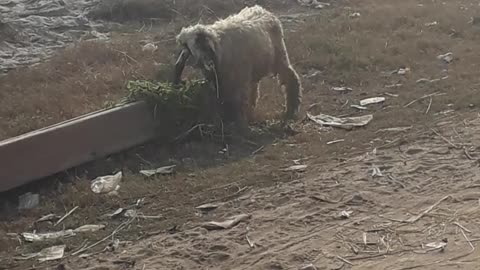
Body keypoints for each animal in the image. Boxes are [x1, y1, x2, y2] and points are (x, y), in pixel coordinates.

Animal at [172, 5, 300, 127]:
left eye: (197, 44)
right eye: (189, 46)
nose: (206, 63)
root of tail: (261, 9)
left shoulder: (237, 81)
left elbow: (238, 102)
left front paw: (239, 124)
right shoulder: (219, 81)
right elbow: (222, 100)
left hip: (279, 57)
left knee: (291, 78)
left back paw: (291, 109)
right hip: (253, 69)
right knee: (254, 89)